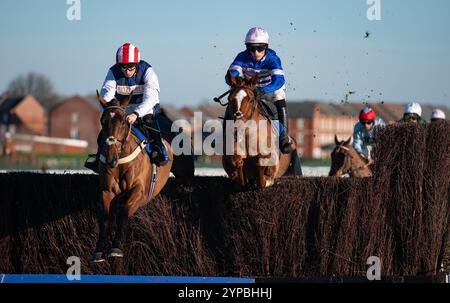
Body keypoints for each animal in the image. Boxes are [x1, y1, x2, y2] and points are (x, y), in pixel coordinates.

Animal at [92, 91, 173, 262]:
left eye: (123, 121)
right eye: (103, 121)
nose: (110, 158)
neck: (120, 158)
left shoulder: (138, 189)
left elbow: (123, 213)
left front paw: (116, 247)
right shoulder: (107, 190)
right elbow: (105, 218)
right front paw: (100, 249)